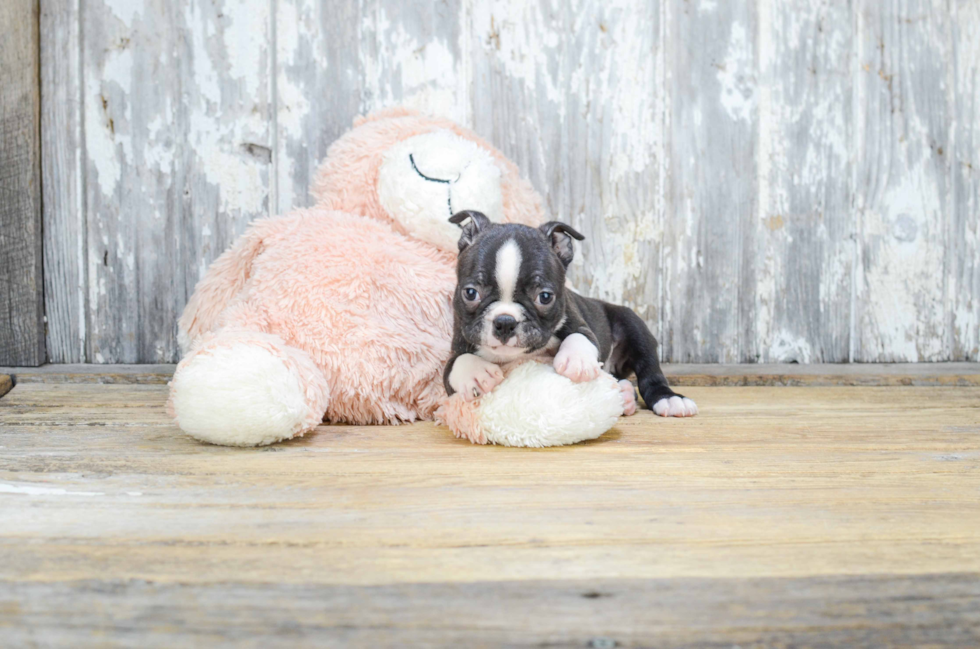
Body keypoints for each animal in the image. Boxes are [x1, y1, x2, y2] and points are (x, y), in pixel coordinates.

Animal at [444, 210, 696, 418]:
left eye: (545, 297)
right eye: (470, 293)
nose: (505, 322)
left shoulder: (580, 324)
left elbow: (580, 336)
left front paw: (577, 361)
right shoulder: (454, 357)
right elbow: (456, 364)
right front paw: (475, 373)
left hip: (634, 326)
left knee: (650, 371)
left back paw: (670, 399)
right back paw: (624, 395)